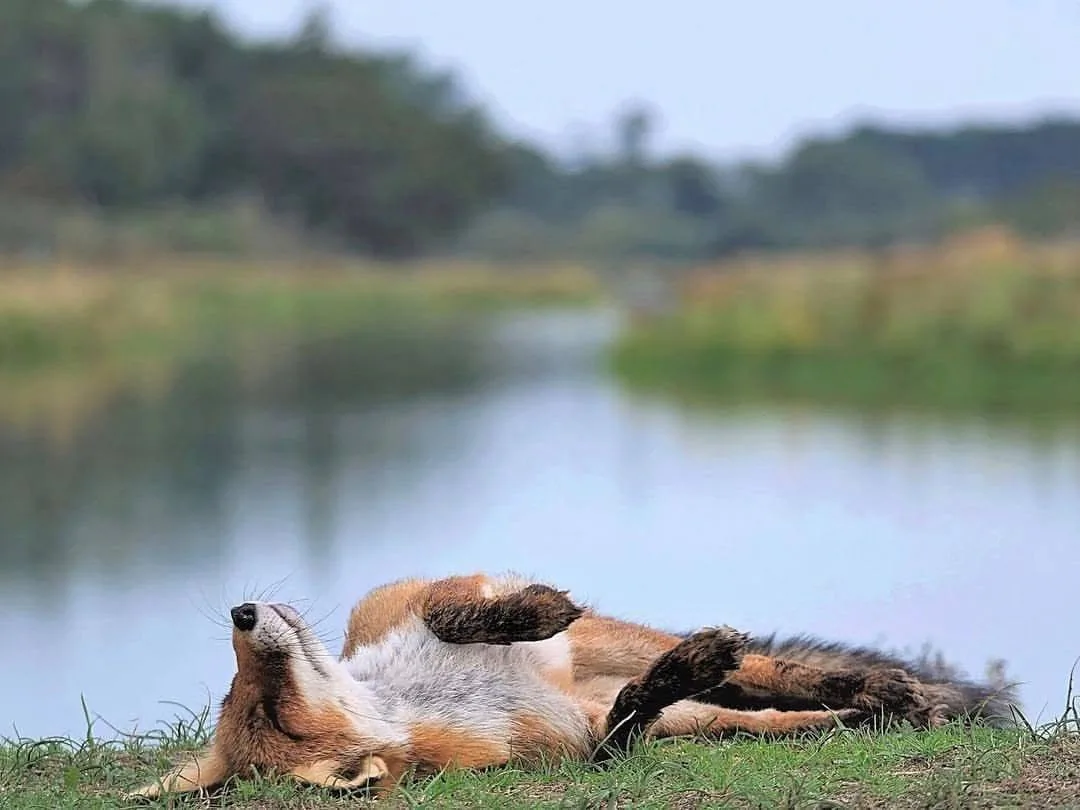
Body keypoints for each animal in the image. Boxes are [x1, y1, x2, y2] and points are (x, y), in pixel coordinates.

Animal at [129, 572, 1017, 800]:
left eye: (238, 693)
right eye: (266, 708)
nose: (242, 613)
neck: (407, 700)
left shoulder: (404, 595)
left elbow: (455, 608)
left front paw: (525, 610)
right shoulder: (571, 738)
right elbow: (617, 733)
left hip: (612, 643)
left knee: (779, 673)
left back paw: (894, 694)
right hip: (695, 721)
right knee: (756, 713)